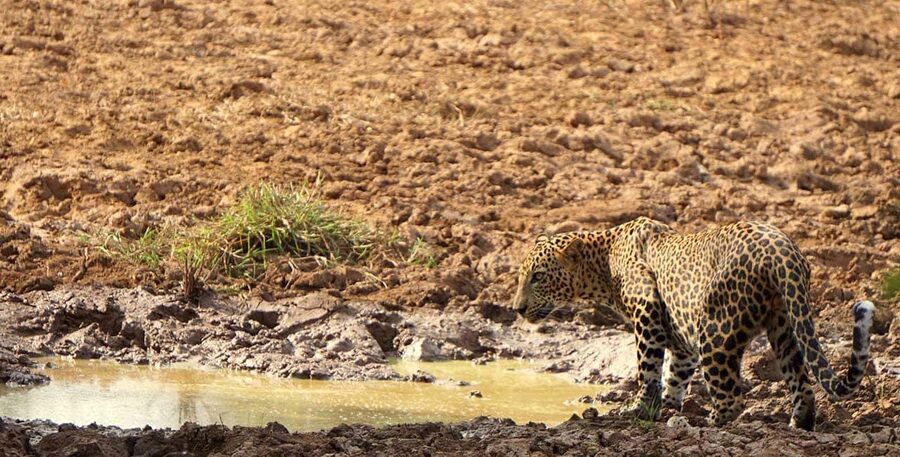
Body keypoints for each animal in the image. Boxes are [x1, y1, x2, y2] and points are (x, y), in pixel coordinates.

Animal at [513, 217, 876, 431]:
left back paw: (710, 423)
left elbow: (648, 369)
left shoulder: (647, 311)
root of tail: (782, 249)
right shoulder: (679, 337)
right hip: (785, 324)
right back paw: (799, 423)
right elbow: (676, 374)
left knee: (731, 396)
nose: (517, 308)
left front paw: (640, 410)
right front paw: (669, 407)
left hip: (716, 330)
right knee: (801, 380)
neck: (602, 259)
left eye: (538, 277)